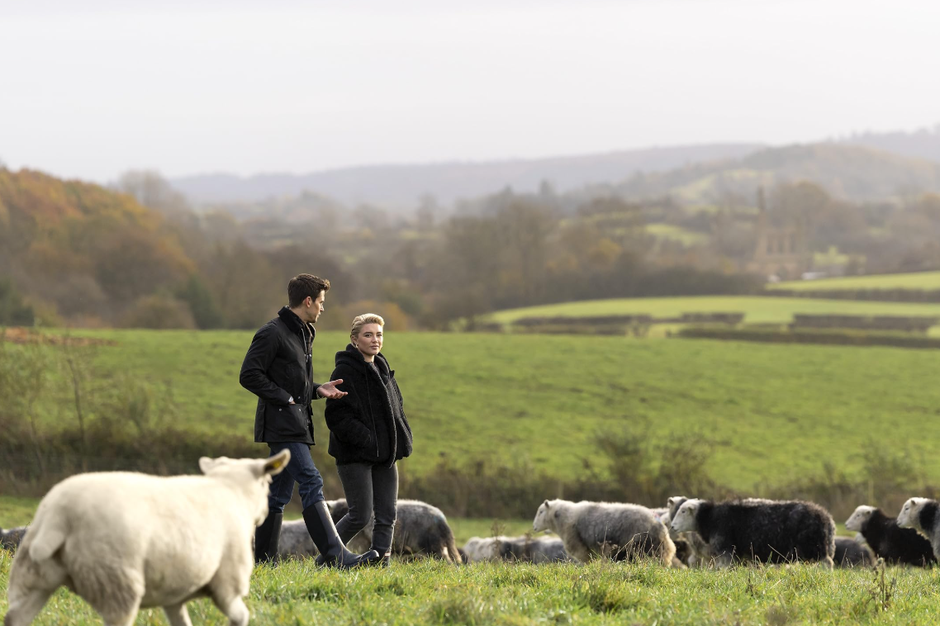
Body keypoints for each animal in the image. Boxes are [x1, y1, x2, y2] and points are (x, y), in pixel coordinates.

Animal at [4, 448, 290, 624]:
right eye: (267, 483)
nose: (265, 511)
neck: (230, 490)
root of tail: (60, 514)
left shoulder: (176, 591)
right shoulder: (228, 583)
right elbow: (240, 617)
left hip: (33, 574)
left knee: (14, 617)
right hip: (116, 581)